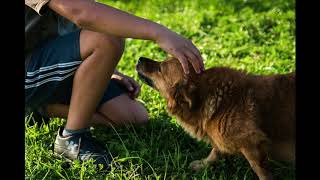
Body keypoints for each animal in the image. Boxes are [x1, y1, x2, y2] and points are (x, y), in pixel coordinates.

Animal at [135, 56, 296, 180]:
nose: (140, 58)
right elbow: (215, 151)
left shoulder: (252, 143)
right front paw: (203, 164)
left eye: (160, 69)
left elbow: (260, 170)